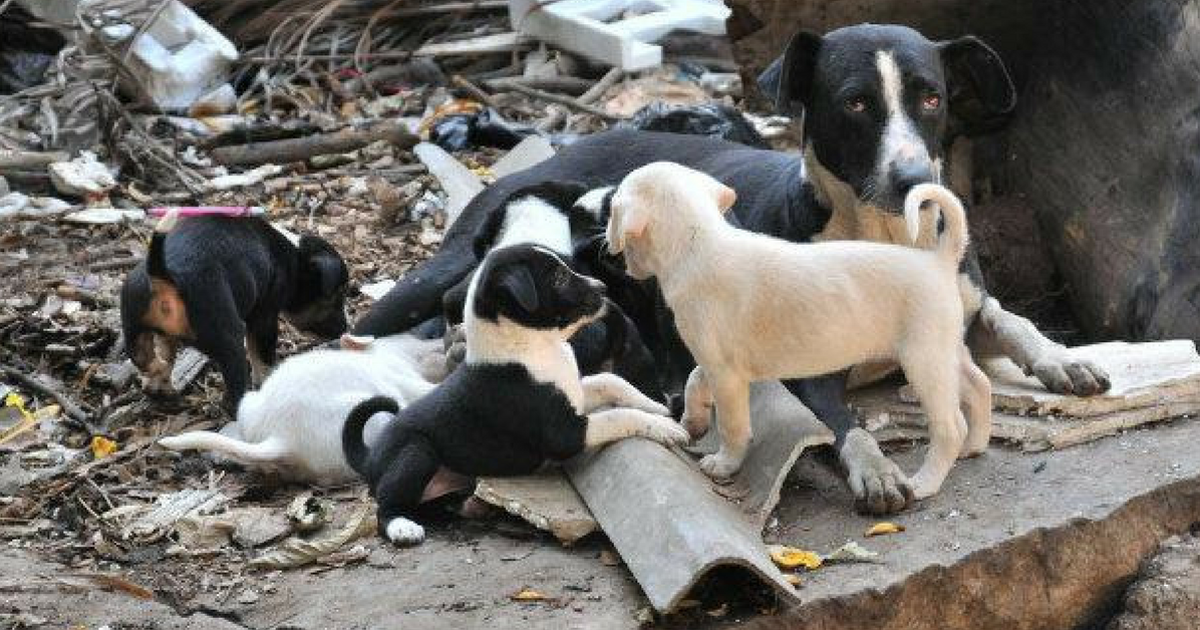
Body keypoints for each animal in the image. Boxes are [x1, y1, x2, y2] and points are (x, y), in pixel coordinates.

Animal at [124, 211, 352, 412]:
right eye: (337, 295)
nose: (344, 329)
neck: (297, 258)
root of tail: (162, 273)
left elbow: (166, 352)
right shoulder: (264, 317)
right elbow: (262, 358)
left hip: (134, 323)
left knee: (144, 357)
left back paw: (159, 384)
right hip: (229, 337)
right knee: (235, 387)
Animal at [158, 331, 441, 484]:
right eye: (415, 342)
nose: (440, 339)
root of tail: (281, 437)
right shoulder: (404, 380)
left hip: (249, 403)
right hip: (371, 420)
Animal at [343, 243, 691, 542]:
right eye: (558, 277)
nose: (603, 288)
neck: (533, 347)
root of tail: (370, 457)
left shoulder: (574, 392)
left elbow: (611, 381)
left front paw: (658, 407)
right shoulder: (565, 433)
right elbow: (618, 416)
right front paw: (665, 428)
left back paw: (470, 507)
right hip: (416, 452)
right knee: (386, 505)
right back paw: (403, 528)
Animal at [609, 163, 993, 501]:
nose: (614, 255)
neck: (697, 241)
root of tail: (939, 260)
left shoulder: (726, 375)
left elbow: (733, 426)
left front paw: (724, 463)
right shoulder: (717, 364)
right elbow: (693, 380)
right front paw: (693, 421)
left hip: (924, 361)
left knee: (950, 426)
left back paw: (926, 481)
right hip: (947, 349)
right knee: (980, 385)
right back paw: (975, 445)